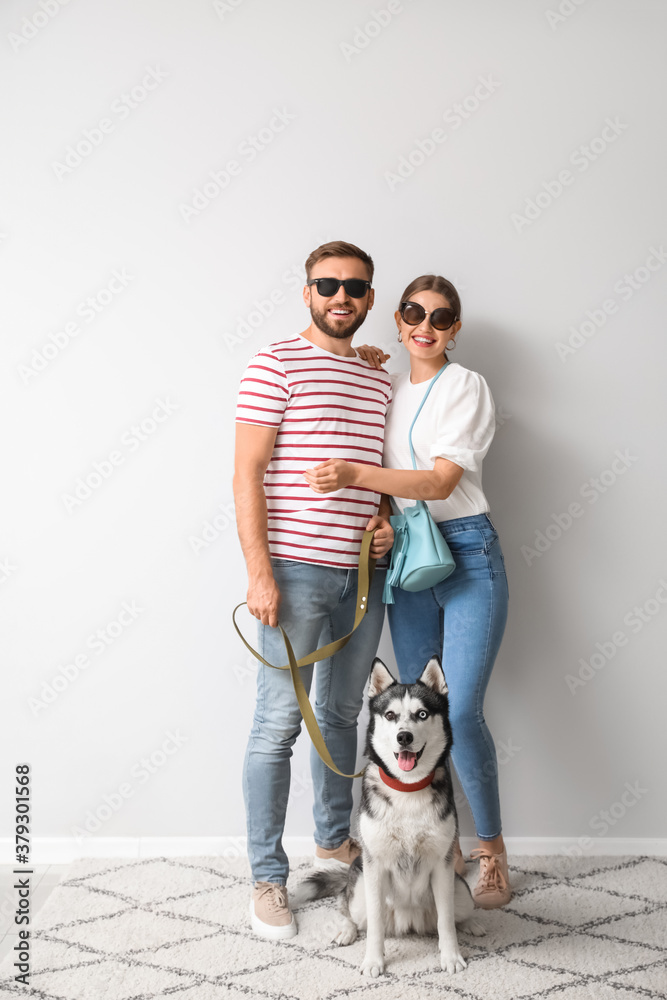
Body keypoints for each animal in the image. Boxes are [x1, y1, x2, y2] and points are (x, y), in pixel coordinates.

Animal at [292, 656, 486, 976]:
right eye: (391, 715)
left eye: (422, 714)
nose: (404, 736)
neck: (407, 789)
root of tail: (410, 923)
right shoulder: (375, 868)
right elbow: (375, 926)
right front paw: (373, 960)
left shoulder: (442, 867)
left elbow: (446, 923)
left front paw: (450, 957)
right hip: (360, 885)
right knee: (348, 908)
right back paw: (346, 930)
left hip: (460, 891)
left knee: (457, 914)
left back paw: (473, 924)